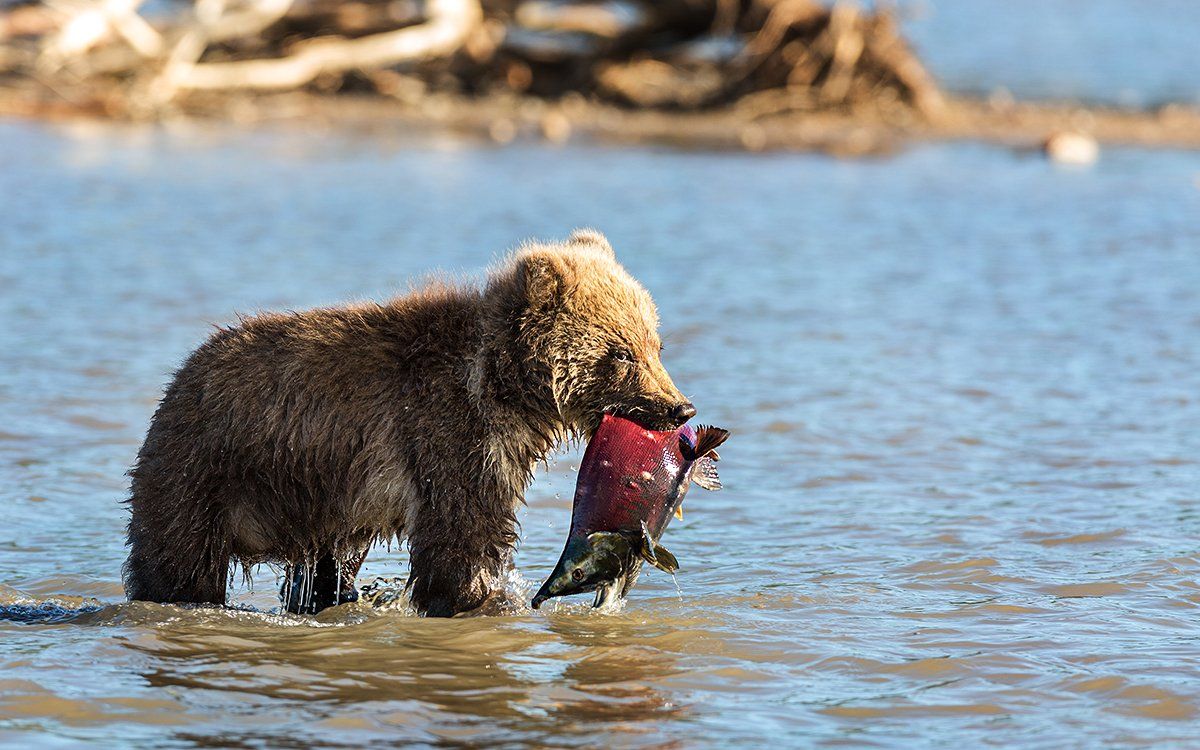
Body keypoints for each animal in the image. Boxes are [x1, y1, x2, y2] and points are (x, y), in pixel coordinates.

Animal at [121, 228, 696, 614]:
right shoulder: (445, 431)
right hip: (206, 469)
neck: (502, 387)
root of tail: (181, 375)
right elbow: (459, 535)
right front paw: (482, 598)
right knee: (178, 559)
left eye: (655, 344)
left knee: (325, 567)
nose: (680, 408)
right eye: (621, 353)